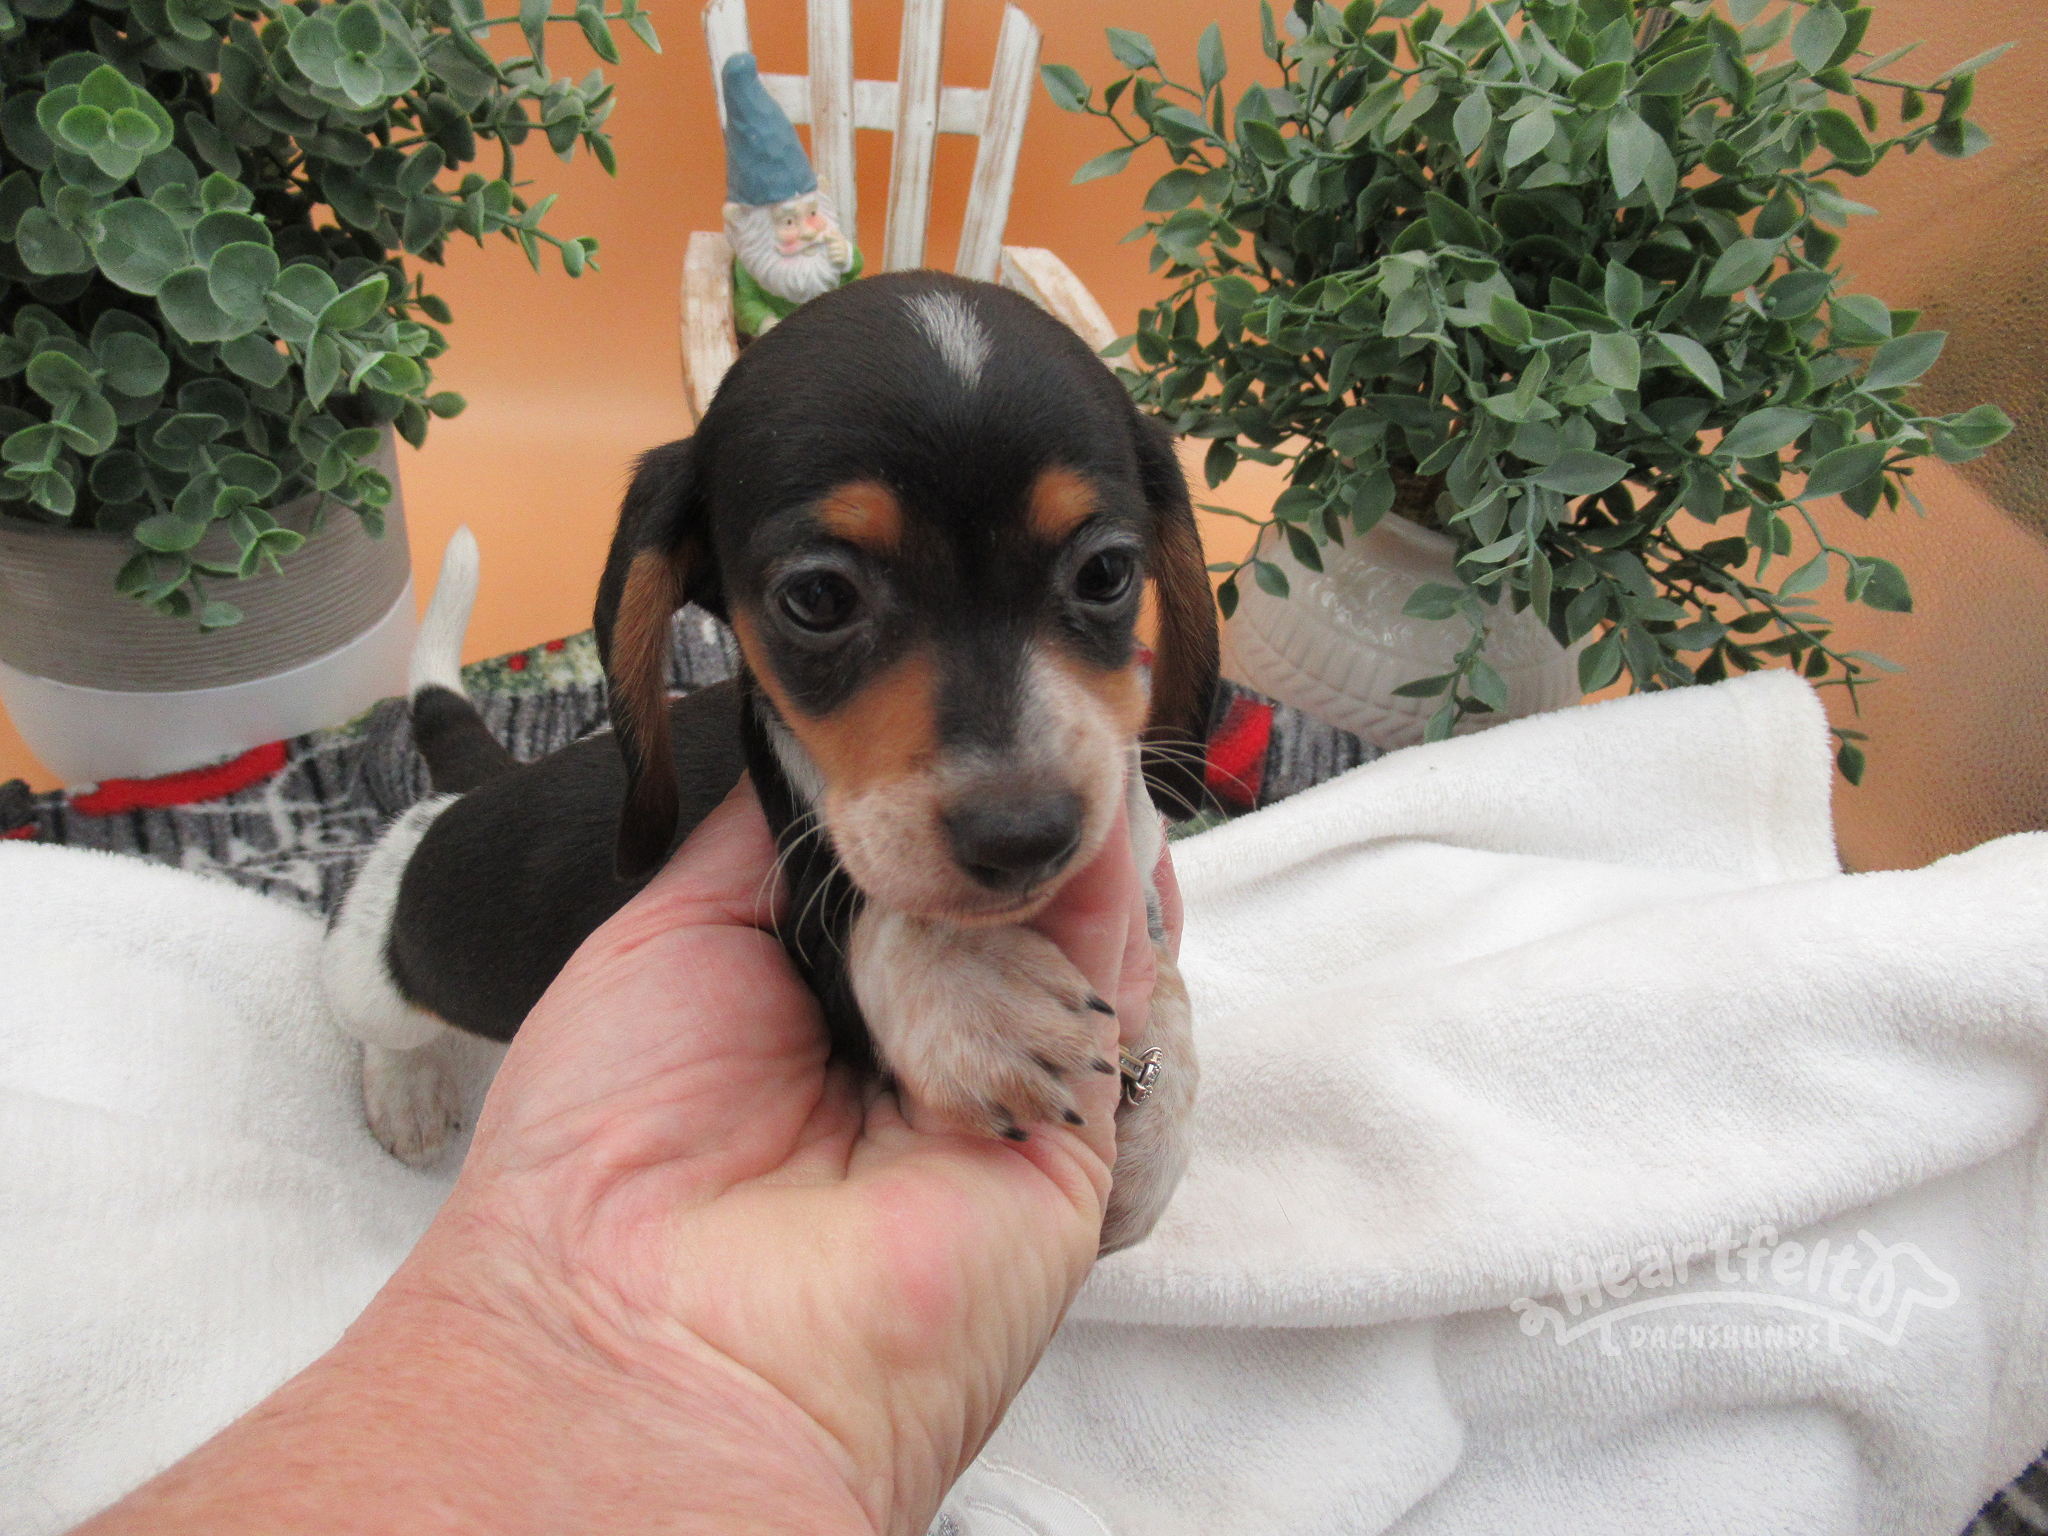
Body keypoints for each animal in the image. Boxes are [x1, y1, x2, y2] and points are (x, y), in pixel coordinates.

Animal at [321, 271, 1217, 1253]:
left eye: (1106, 573)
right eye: (819, 596)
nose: (1024, 836)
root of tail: (461, 795)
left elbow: (1171, 992)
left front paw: (1150, 1147)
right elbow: (868, 920)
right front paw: (966, 982)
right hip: (383, 972)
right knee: (379, 1023)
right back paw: (404, 1094)